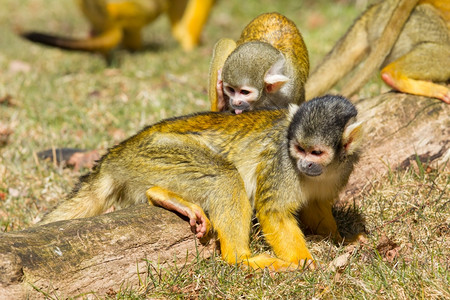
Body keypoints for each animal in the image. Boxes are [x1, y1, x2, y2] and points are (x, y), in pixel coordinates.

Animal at [37, 95, 362, 272]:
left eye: (316, 153)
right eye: (298, 149)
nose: (305, 165)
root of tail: (114, 155)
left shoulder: (341, 168)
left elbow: (317, 205)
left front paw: (341, 239)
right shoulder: (282, 164)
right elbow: (274, 212)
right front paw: (305, 261)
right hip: (153, 154)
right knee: (225, 177)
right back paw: (240, 258)